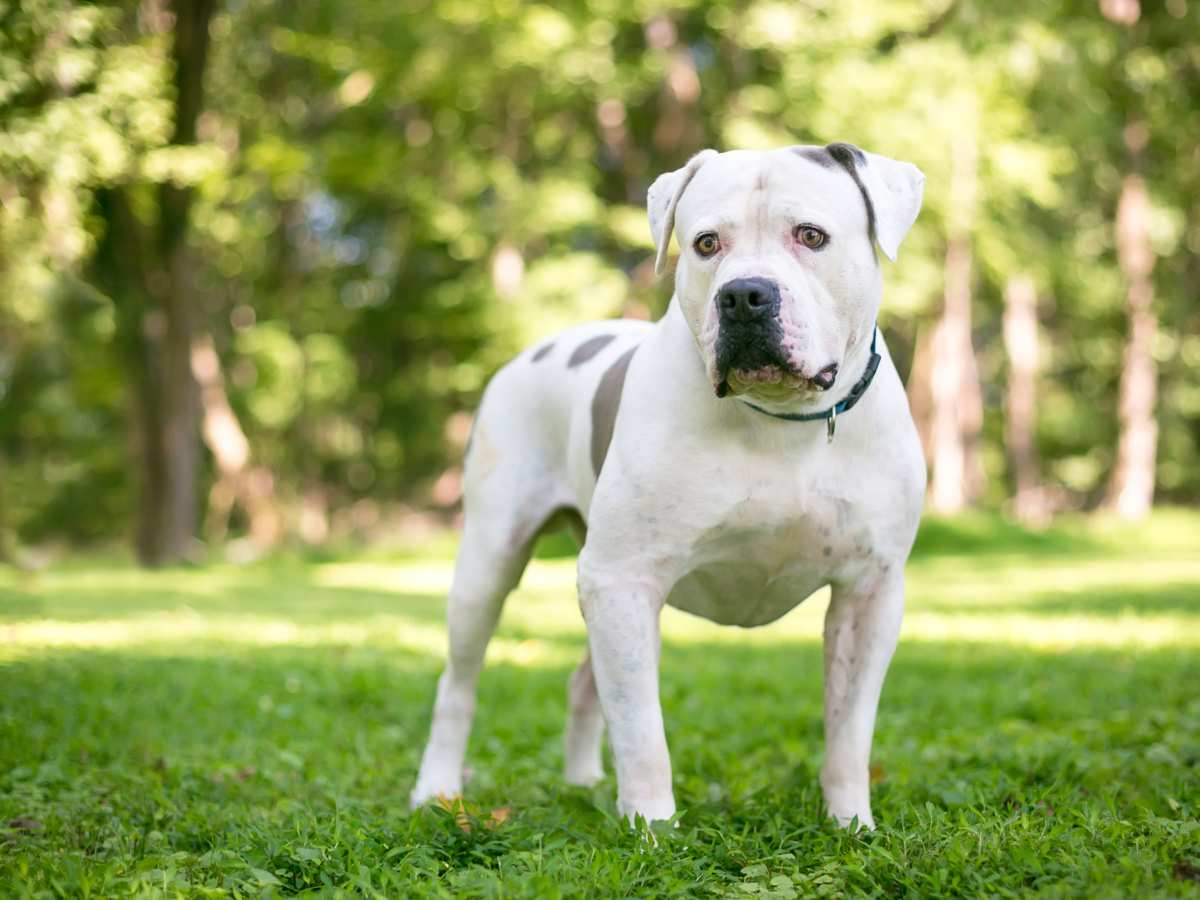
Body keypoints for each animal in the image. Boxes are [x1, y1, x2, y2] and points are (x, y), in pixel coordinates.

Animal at [412, 142, 926, 830]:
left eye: (811, 236)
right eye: (706, 243)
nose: (744, 295)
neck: (781, 419)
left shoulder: (870, 591)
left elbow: (849, 730)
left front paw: (851, 824)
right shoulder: (622, 579)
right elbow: (641, 731)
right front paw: (652, 828)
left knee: (584, 682)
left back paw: (581, 782)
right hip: (492, 563)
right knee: (459, 684)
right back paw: (437, 789)